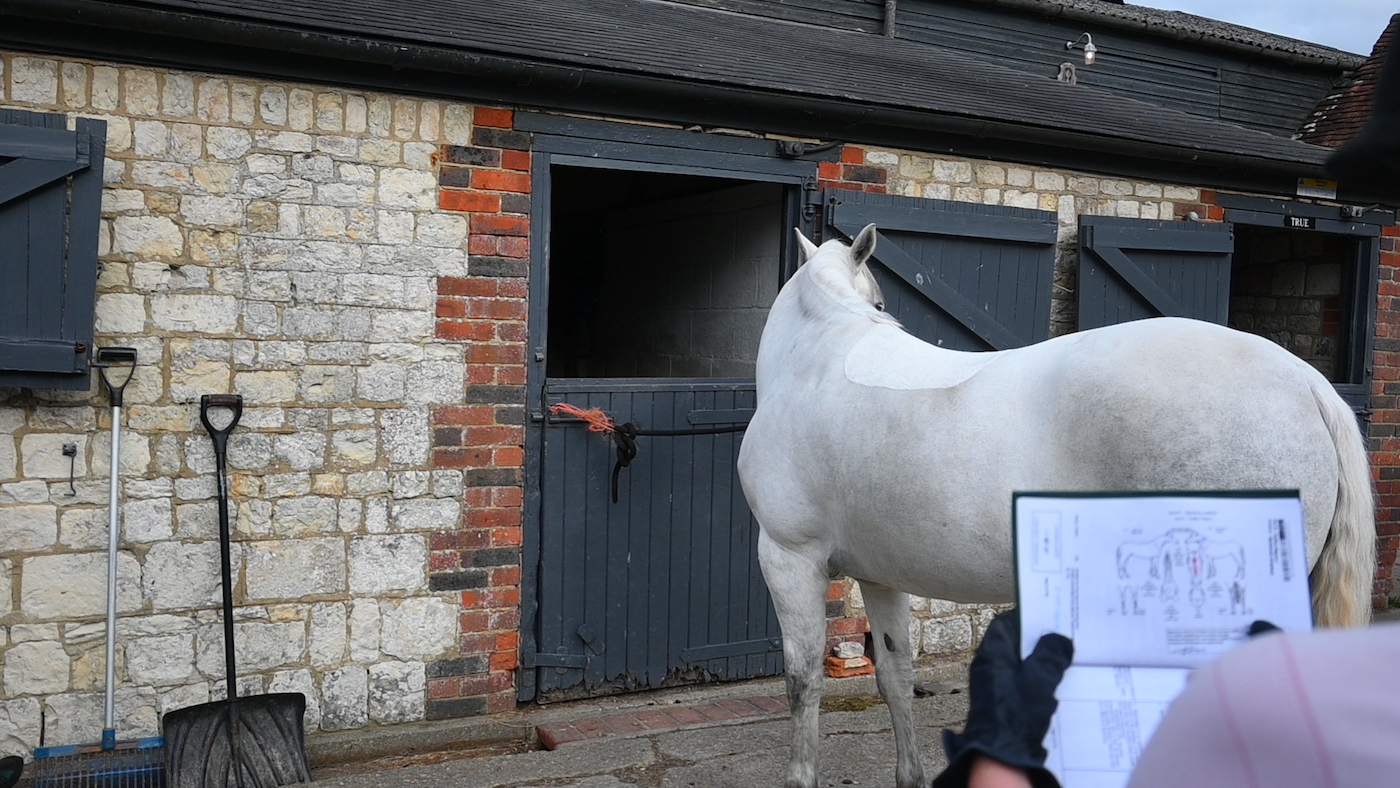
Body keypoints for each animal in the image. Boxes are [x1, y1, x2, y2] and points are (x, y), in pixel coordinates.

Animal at [736, 224, 1375, 788]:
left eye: (879, 300)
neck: (816, 362)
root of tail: (1306, 382)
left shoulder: (789, 558)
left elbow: (803, 680)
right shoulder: (881, 575)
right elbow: (895, 677)